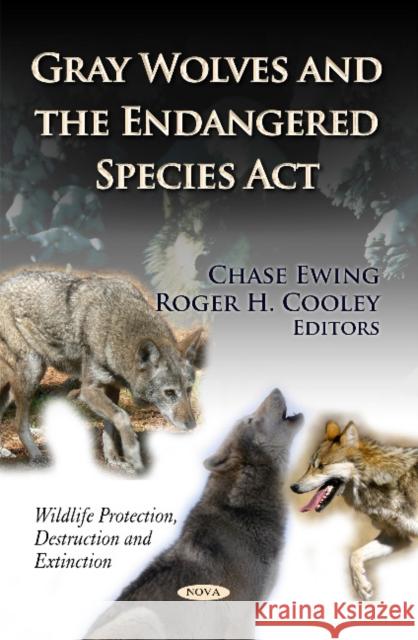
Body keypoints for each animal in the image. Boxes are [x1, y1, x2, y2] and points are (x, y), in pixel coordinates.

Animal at [0, 269, 205, 471]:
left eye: (188, 390)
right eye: (169, 393)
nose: (192, 425)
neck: (113, 325)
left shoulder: (112, 388)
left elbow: (110, 426)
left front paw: (113, 459)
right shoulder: (89, 390)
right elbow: (122, 416)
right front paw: (132, 454)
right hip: (32, 373)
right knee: (18, 423)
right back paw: (36, 456)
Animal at [291, 420, 418, 600]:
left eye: (322, 466)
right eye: (309, 466)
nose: (293, 487)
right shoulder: (396, 536)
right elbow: (354, 555)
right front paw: (362, 587)